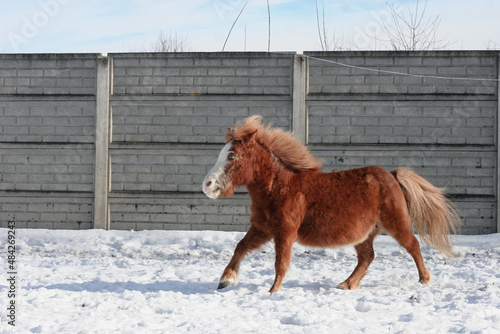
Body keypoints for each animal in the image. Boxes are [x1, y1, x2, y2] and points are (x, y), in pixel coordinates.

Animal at [201, 115, 458, 294]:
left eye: (232, 156)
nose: (207, 185)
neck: (280, 187)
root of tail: (392, 175)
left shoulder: (285, 232)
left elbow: (280, 263)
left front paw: (273, 291)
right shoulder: (263, 228)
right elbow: (240, 247)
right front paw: (225, 280)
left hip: (396, 222)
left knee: (412, 245)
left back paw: (424, 279)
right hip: (365, 234)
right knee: (367, 256)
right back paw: (347, 284)